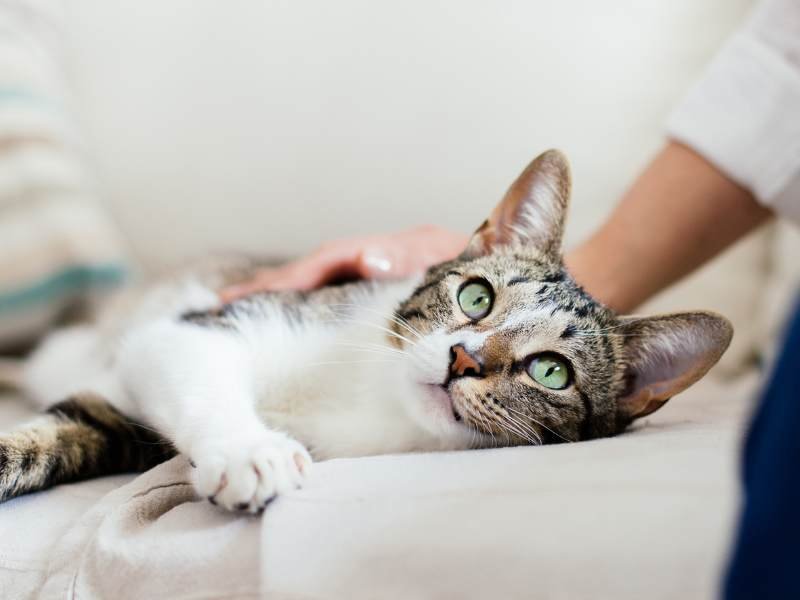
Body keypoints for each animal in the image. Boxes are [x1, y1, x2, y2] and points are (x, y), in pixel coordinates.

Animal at [0, 150, 732, 510]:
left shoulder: (119, 425)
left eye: (551, 371)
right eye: (475, 296)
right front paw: (250, 449)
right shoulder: (209, 323)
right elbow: (187, 359)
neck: (370, 397)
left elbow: (62, 439)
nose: (463, 358)